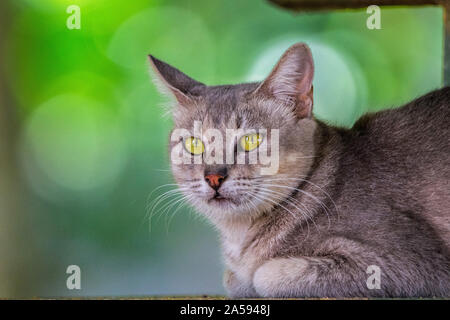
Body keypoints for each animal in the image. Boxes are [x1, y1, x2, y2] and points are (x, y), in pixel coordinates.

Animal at [149, 42, 450, 298]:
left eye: (251, 140)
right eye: (193, 144)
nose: (213, 177)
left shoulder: (407, 264)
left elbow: (264, 275)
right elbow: (235, 278)